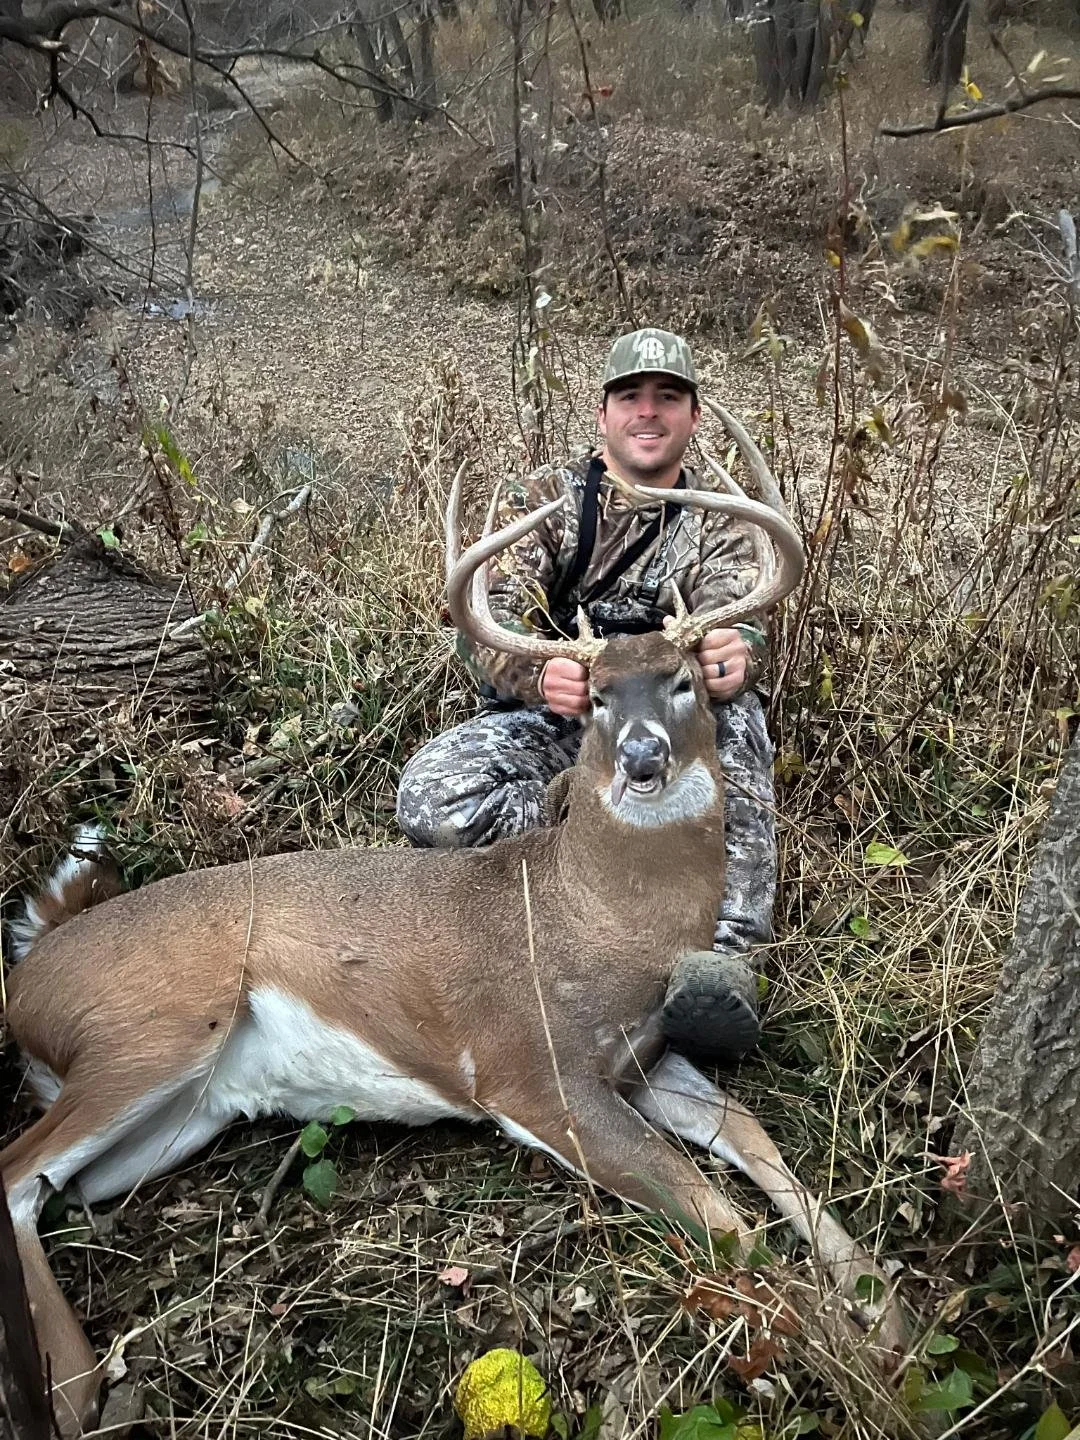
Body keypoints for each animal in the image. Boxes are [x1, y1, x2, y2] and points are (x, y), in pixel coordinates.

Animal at [1, 450, 908, 1437]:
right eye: (595, 697)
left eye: (684, 679)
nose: (641, 758)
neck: (597, 918)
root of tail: (30, 974)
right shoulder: (534, 1072)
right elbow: (720, 1221)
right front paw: (856, 1358)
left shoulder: (635, 1056)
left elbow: (748, 1130)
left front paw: (882, 1304)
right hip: (151, 1030)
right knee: (14, 1171)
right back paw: (72, 1386)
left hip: (185, 1114)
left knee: (56, 1190)